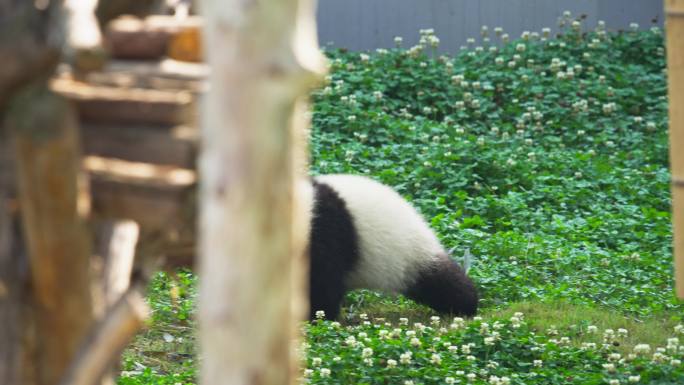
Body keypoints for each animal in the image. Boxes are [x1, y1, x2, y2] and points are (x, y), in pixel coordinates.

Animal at [304, 173, 476, 318]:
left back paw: (466, 305)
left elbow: (323, 283)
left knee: (442, 282)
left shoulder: (327, 232)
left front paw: (317, 316)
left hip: (411, 254)